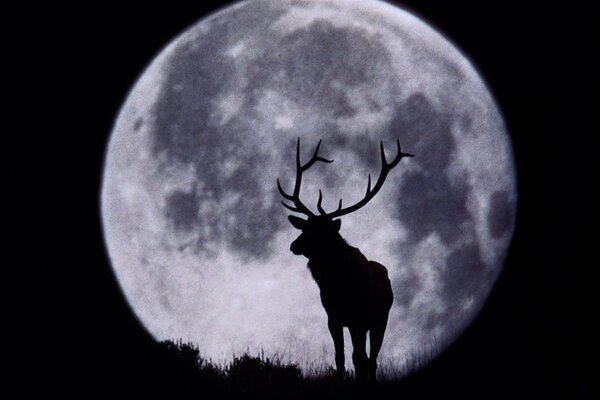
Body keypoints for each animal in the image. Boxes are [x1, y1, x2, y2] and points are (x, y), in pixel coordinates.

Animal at [276, 139, 412, 382]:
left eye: (321, 231)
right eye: (305, 227)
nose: (294, 246)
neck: (338, 283)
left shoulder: (359, 318)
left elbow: (360, 359)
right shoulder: (334, 317)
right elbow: (339, 358)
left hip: (380, 319)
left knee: (371, 359)